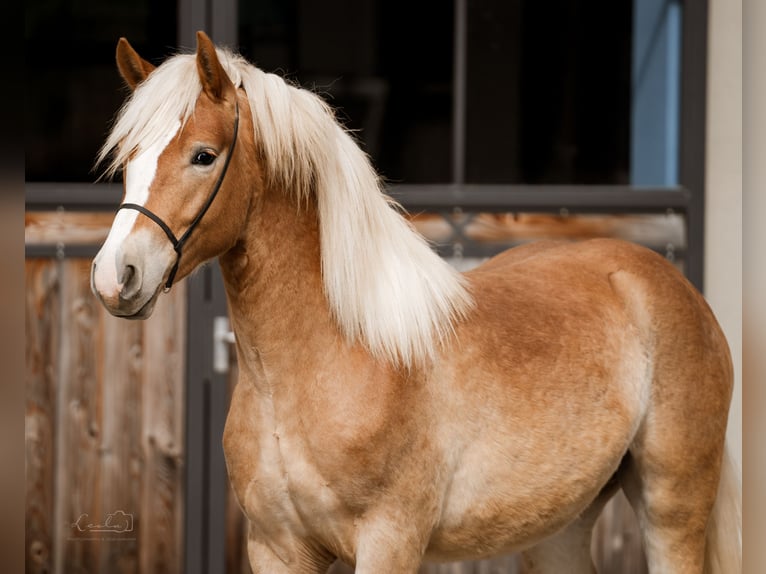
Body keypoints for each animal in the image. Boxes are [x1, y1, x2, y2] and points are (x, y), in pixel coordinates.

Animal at [91, 32, 740, 573]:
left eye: (203, 155)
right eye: (128, 159)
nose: (115, 276)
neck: (331, 359)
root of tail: (668, 283)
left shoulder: (390, 542)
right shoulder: (277, 549)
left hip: (672, 507)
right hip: (562, 528)